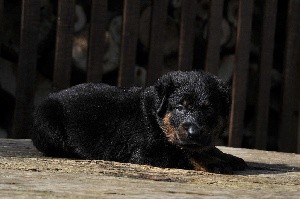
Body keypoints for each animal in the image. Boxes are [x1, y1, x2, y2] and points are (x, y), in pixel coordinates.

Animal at [31, 70, 246, 173]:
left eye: (209, 109)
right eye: (180, 107)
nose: (194, 132)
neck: (155, 118)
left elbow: (204, 148)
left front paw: (229, 157)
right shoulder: (146, 152)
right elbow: (183, 155)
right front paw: (214, 163)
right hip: (48, 123)